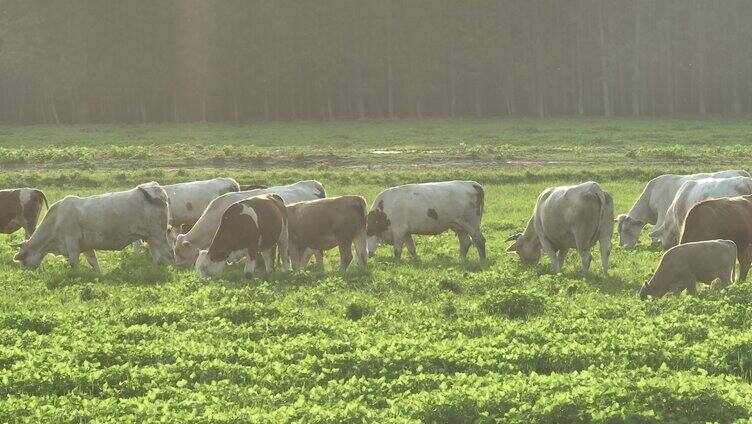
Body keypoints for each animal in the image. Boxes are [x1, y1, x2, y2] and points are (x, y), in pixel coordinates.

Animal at [13, 182, 173, 272]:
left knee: (169, 254)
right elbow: (93, 262)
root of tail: (154, 189)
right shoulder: (86, 246)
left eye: (23, 260)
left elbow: (74, 263)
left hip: (159, 236)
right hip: (150, 238)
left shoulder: (72, 242)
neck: (56, 219)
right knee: (157, 256)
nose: (24, 274)